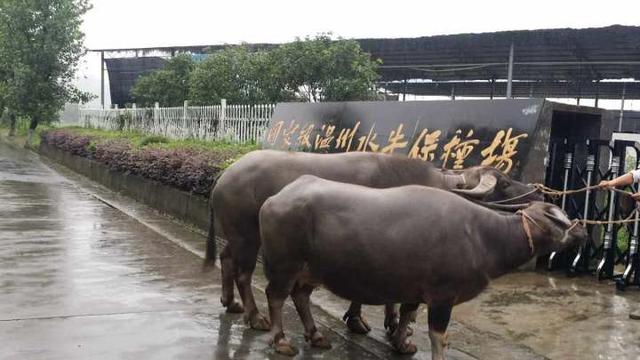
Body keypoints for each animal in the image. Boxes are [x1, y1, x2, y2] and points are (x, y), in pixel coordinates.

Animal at [204, 149, 540, 332]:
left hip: (236, 234)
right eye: (504, 183)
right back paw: (255, 316)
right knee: (244, 273)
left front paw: (389, 321)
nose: (537, 192)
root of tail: (225, 175)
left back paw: (230, 302)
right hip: (248, 236)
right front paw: (360, 320)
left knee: (226, 258)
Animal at [258, 174, 584, 358]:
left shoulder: (415, 289)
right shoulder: (442, 297)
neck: (481, 235)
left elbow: (406, 314)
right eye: (556, 220)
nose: (580, 230)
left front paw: (401, 344)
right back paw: (281, 340)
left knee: (301, 296)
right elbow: (438, 337)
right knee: (276, 296)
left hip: (311, 270)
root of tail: (275, 198)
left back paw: (315, 335)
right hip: (285, 265)